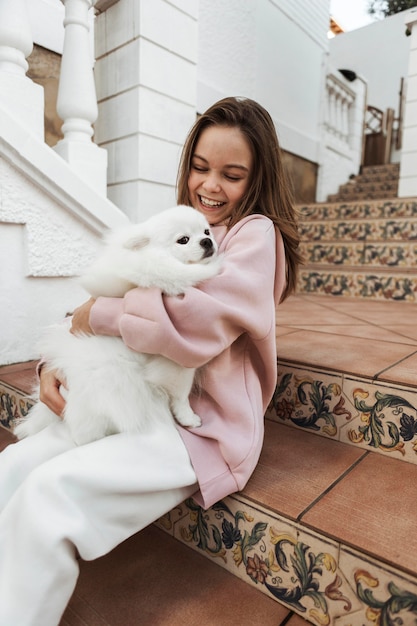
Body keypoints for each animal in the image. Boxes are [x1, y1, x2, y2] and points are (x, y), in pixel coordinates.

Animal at [13, 205, 221, 444]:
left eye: (206, 231)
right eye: (183, 240)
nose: (207, 242)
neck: (154, 261)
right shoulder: (174, 360)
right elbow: (181, 394)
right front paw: (188, 417)